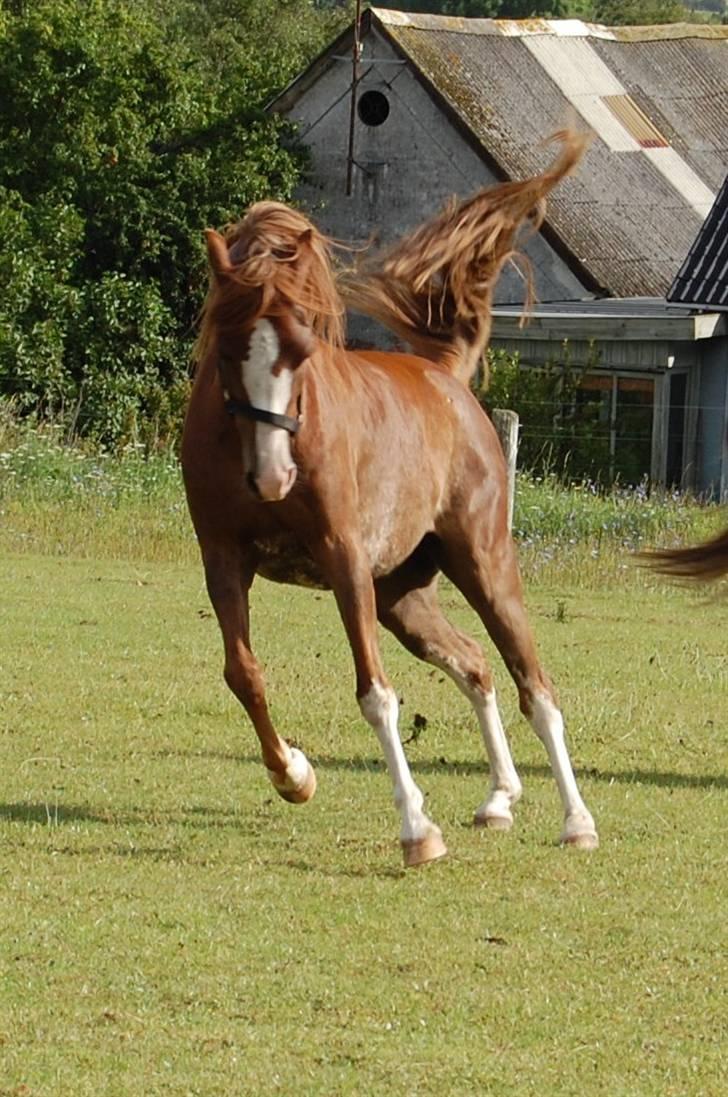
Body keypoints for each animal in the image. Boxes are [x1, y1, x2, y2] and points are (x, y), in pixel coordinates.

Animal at [180, 132, 596, 864]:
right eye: (228, 349)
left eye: (303, 346)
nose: (274, 478)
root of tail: (446, 377)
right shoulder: (223, 560)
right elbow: (244, 674)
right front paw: (294, 773)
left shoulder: (343, 559)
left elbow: (376, 694)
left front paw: (416, 829)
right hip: (404, 594)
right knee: (476, 665)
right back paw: (498, 799)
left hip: (483, 566)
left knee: (535, 688)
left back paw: (576, 821)